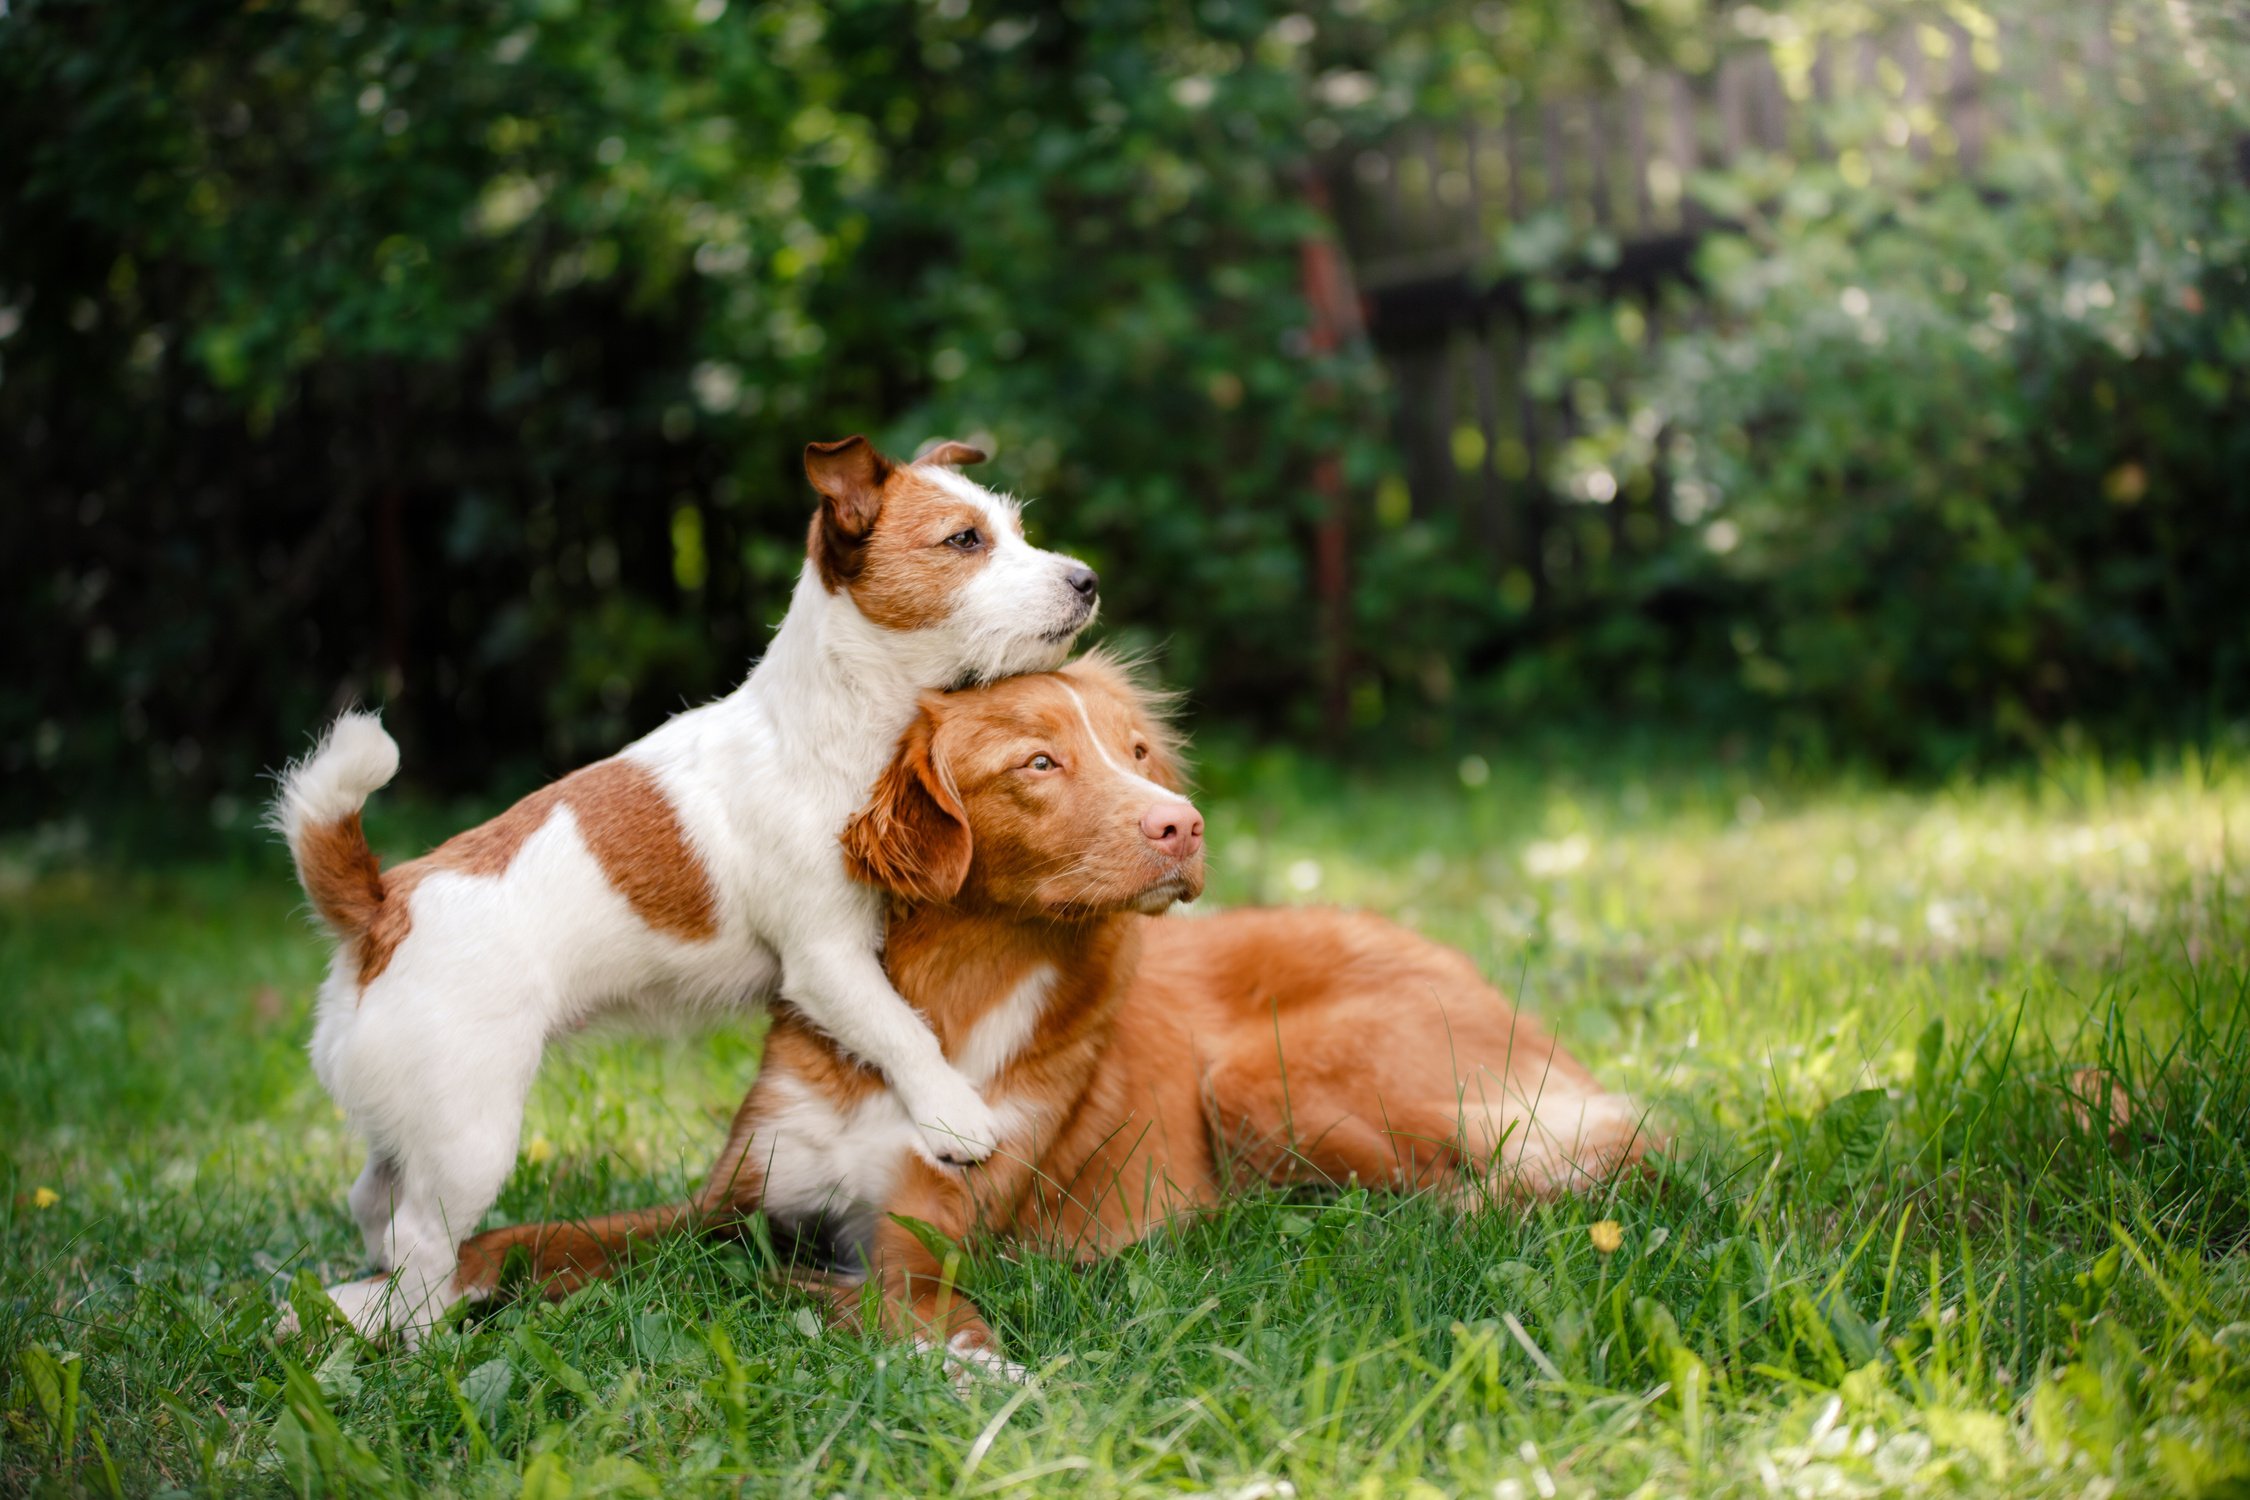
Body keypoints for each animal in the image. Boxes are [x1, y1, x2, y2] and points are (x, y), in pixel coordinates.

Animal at [272, 434, 1098, 1340]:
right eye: (963, 541)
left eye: (1017, 530)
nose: (1086, 579)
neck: (833, 722)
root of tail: (381, 907)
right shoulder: (827, 958)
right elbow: (900, 1030)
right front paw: (955, 1115)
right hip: (470, 1135)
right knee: (419, 1238)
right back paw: (423, 1339)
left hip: (410, 1122)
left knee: (373, 1199)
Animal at [447, 652, 1665, 1376]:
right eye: (1040, 762)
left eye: (1135, 753)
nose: (1184, 825)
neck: (942, 1005)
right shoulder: (734, 1195)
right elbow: (539, 1237)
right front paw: (421, 1295)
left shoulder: (918, 1251)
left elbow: (809, 1287)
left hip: (1263, 1078)